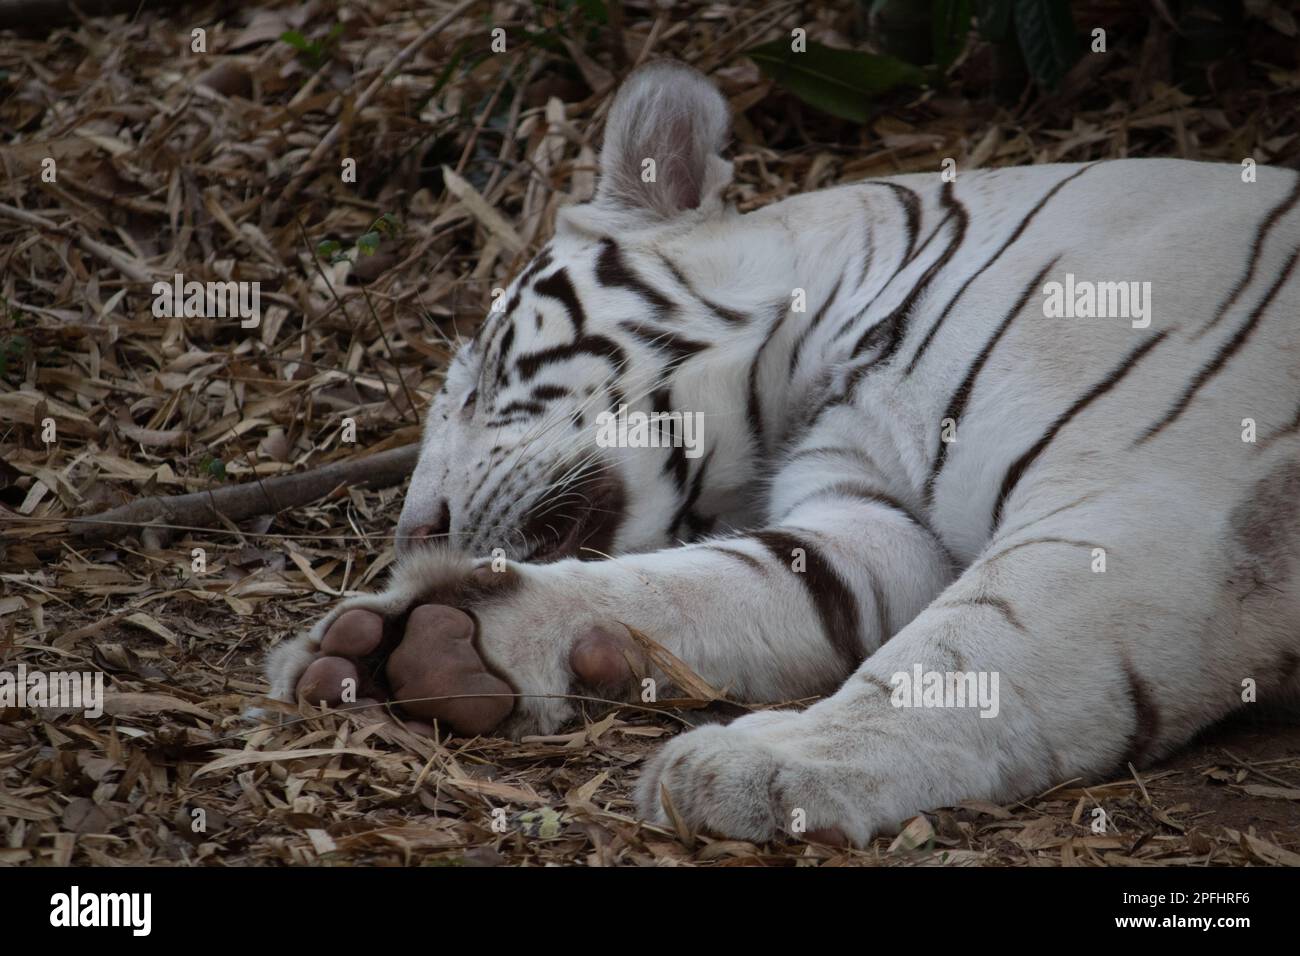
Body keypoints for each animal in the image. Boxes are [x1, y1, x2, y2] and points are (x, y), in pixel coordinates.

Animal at [263, 59, 1300, 842]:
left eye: (480, 378)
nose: (417, 529)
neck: (822, 361)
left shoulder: (1143, 511)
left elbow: (968, 644)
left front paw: (769, 762)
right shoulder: (876, 520)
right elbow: (720, 582)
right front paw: (430, 642)